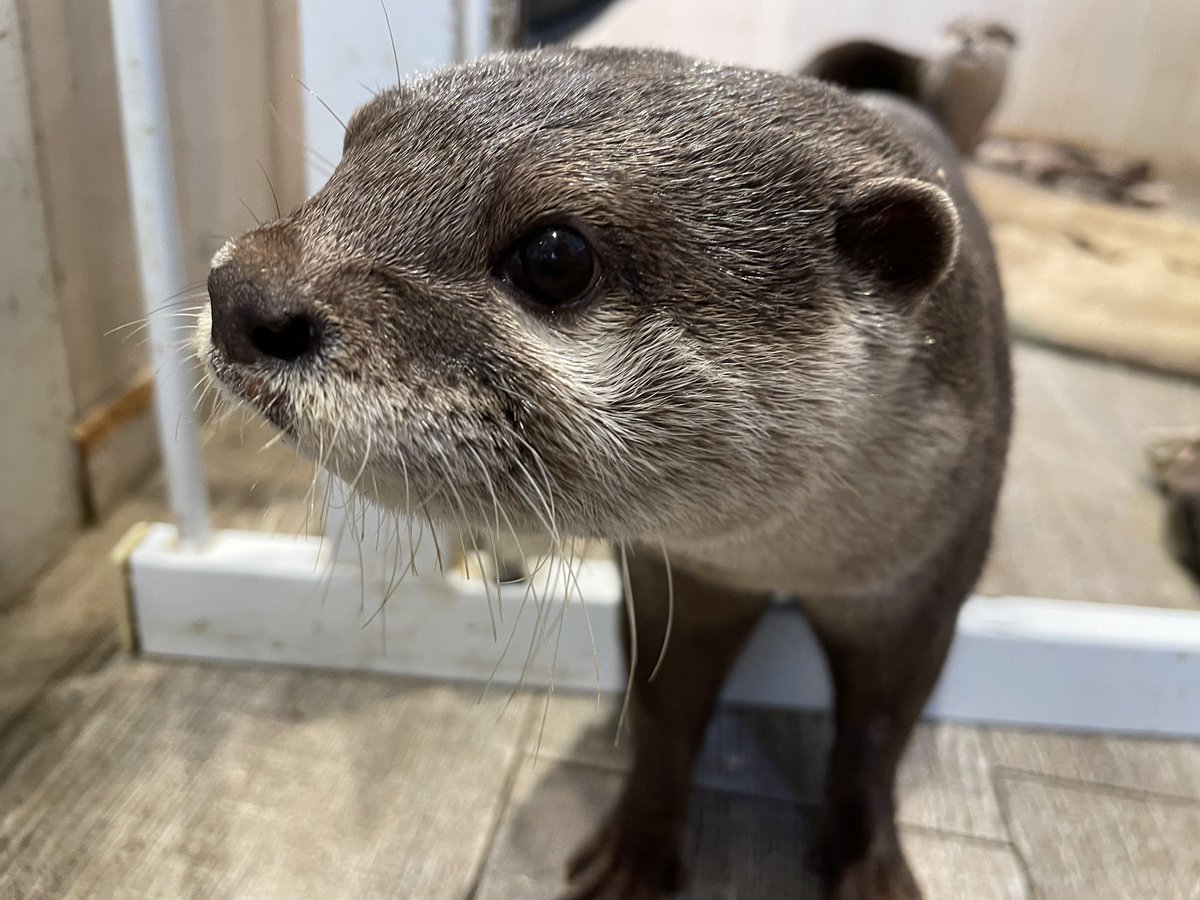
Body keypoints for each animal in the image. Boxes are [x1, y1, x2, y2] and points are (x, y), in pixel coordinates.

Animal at [196, 47, 1011, 899]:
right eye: (352, 148)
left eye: (555, 257)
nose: (243, 294)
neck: (781, 561)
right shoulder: (677, 580)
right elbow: (660, 713)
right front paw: (636, 850)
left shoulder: (923, 580)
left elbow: (877, 739)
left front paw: (869, 865)